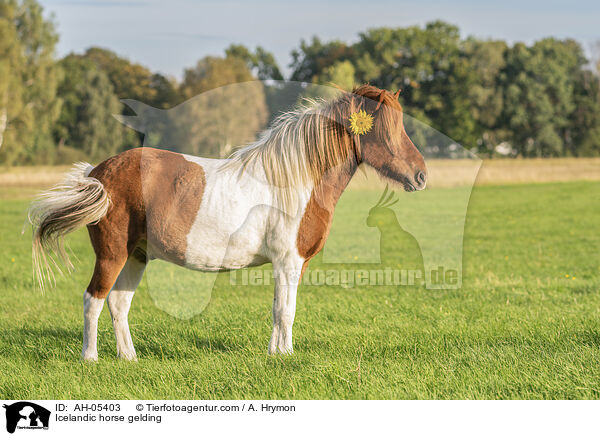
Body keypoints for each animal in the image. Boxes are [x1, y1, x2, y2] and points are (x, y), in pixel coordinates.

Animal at [28, 85, 426, 362]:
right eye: (386, 131)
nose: (421, 176)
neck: (294, 180)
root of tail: (98, 173)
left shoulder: (289, 264)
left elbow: (281, 309)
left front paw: (278, 354)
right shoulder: (288, 261)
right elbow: (285, 311)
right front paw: (284, 357)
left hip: (136, 256)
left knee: (118, 303)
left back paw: (130, 358)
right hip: (112, 254)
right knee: (93, 300)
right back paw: (90, 358)